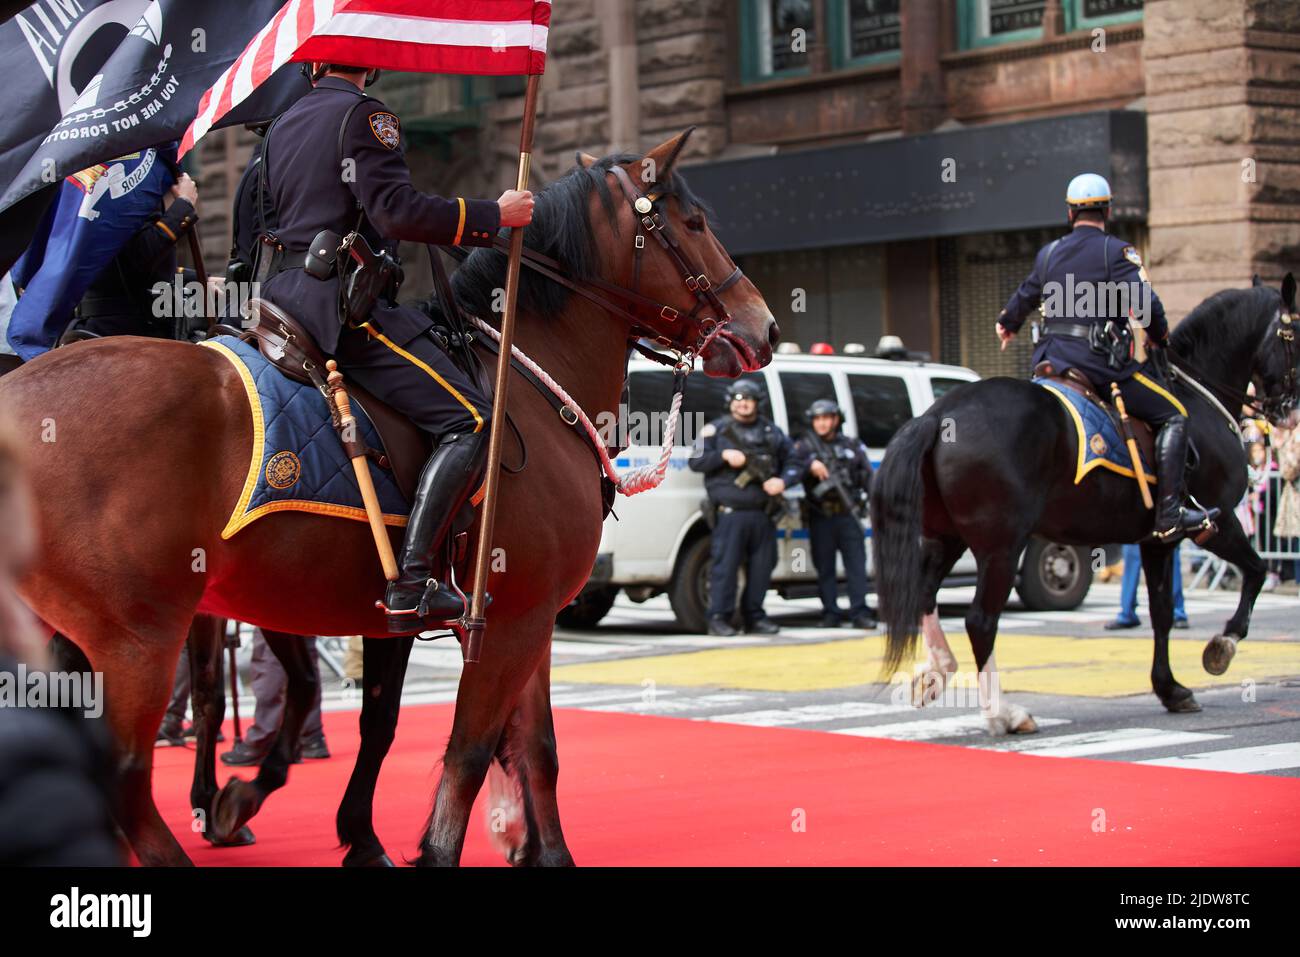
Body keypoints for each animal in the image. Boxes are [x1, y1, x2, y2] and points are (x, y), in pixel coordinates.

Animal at [0, 128, 769, 868]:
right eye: (695, 221)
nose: (763, 327)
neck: (522, 376)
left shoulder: (513, 617)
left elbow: (521, 745)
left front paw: (536, 851)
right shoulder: (507, 618)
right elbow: (468, 749)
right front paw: (434, 848)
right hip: (138, 634)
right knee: (127, 773)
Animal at [873, 276, 1300, 733]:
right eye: (1293, 334)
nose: (1290, 411)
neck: (1197, 397)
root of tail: (938, 417)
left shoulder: (1158, 540)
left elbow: (1163, 612)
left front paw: (1170, 688)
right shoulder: (1213, 522)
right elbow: (1255, 572)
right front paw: (1223, 644)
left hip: (946, 538)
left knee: (924, 595)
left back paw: (938, 670)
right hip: (1001, 548)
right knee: (980, 621)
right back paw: (1004, 713)